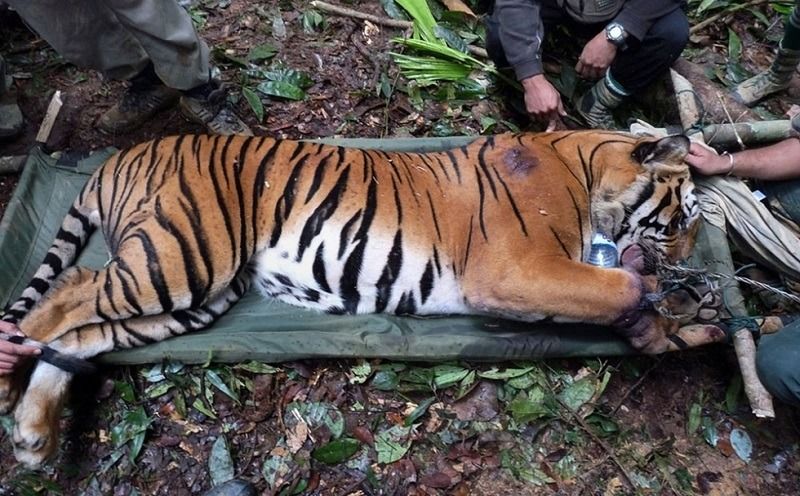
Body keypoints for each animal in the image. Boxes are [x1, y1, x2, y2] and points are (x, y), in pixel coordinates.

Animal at [0, 130, 725, 467]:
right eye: (683, 219)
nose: (691, 257)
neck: (585, 165)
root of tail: (114, 157)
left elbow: (626, 302)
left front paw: (684, 325)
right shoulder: (518, 268)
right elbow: (618, 285)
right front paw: (661, 301)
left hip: (193, 296)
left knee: (83, 334)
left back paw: (34, 434)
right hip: (180, 259)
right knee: (67, 291)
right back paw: (10, 386)